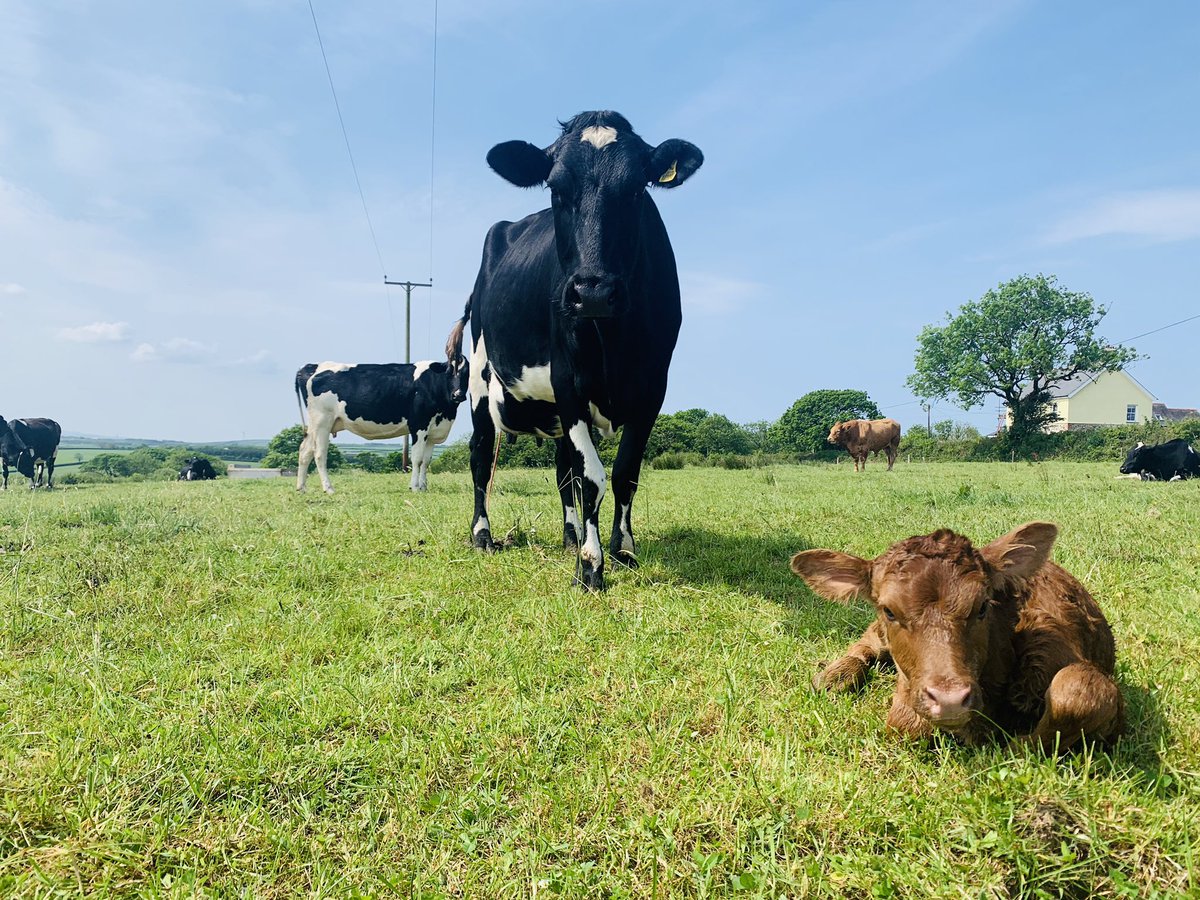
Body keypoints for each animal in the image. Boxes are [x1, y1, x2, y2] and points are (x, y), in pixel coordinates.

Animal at [294, 352, 468, 494]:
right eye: (449, 372)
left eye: (466, 373)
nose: (458, 394)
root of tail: (312, 366)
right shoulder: (418, 425)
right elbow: (417, 459)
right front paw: (415, 487)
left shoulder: (433, 431)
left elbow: (426, 461)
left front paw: (424, 487)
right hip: (322, 421)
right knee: (319, 454)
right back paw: (328, 488)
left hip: (316, 425)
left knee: (305, 450)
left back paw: (301, 488)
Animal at [449, 111, 703, 591]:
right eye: (556, 189)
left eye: (636, 188)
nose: (594, 292)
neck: (615, 340)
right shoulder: (569, 382)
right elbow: (593, 477)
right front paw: (590, 565)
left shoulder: (652, 389)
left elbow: (624, 475)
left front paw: (623, 550)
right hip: (479, 377)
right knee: (480, 457)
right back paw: (483, 536)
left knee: (562, 468)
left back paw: (568, 535)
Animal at [790, 522, 1124, 751]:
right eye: (889, 611)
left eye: (983, 606)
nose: (949, 700)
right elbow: (904, 723)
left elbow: (1077, 694)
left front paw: (1014, 744)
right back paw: (835, 675)